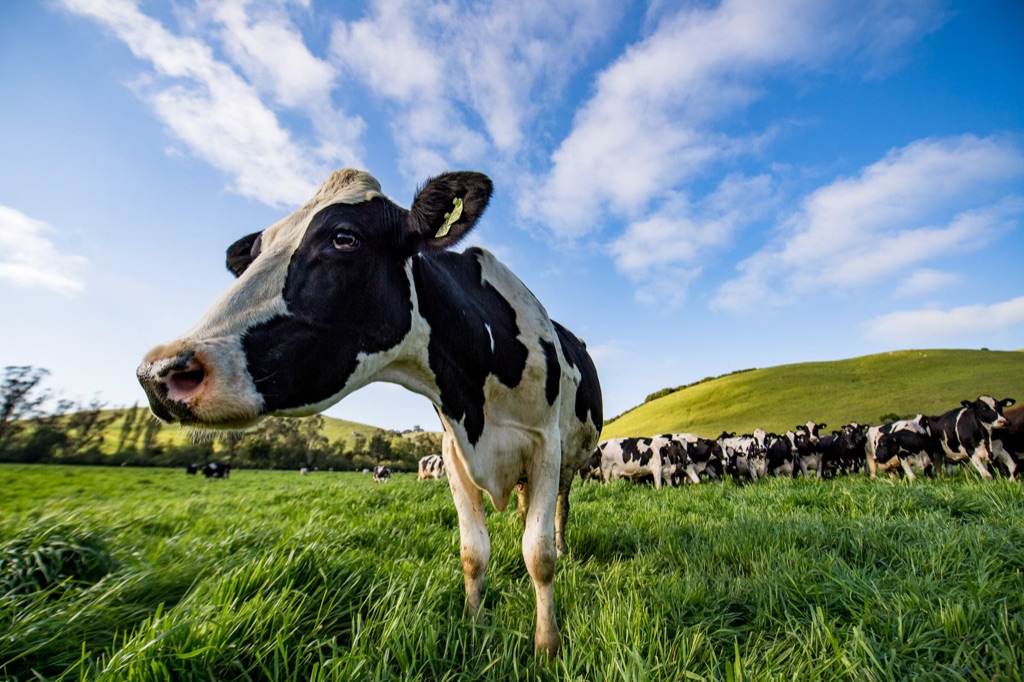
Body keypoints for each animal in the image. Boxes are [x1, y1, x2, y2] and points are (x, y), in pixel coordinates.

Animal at [135, 168, 602, 657]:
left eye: (345, 238)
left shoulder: (545, 446)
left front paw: (547, 645)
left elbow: (539, 555)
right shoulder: (453, 455)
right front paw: (474, 625)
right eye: (255, 254)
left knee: (558, 512)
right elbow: (473, 554)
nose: (160, 372)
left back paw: (563, 546)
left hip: (568, 460)